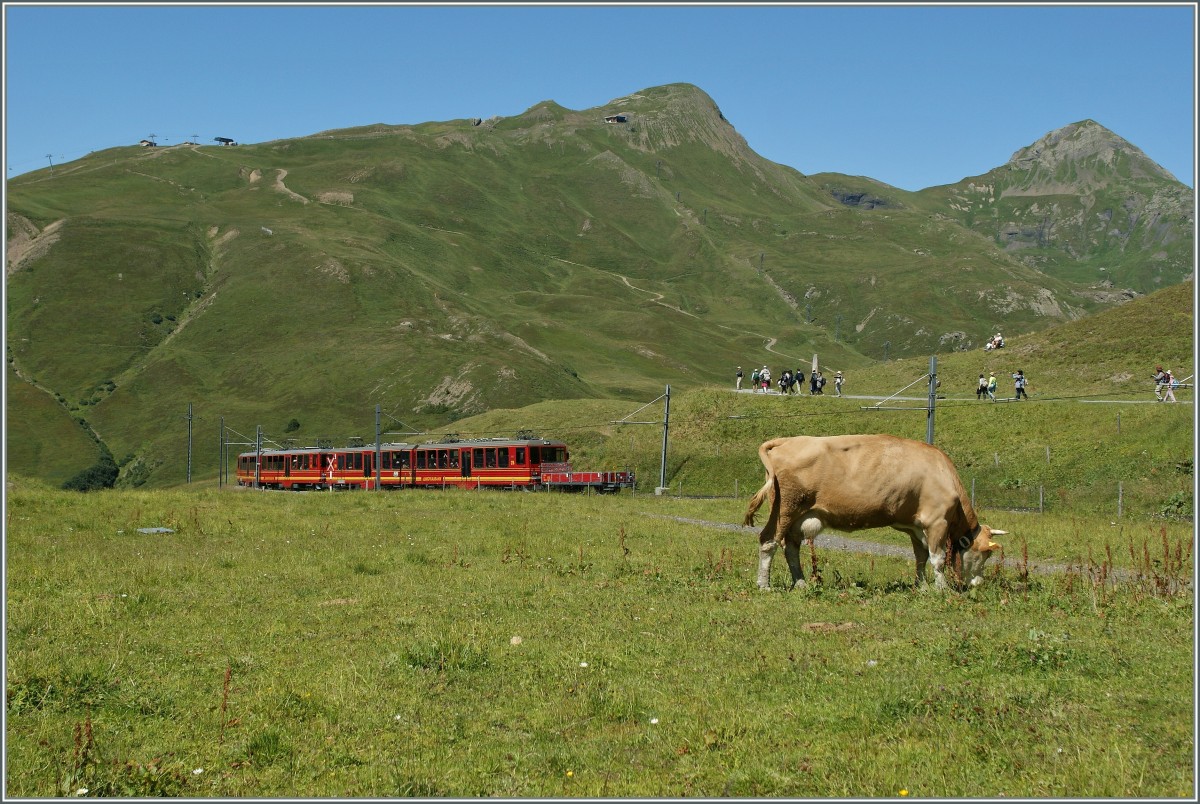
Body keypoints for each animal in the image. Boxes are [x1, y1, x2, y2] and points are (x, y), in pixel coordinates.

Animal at [739, 434, 1003, 592]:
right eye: (984, 554)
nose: (978, 583)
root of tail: (786, 441)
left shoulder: (916, 526)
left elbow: (921, 557)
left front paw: (922, 586)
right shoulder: (936, 521)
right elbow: (937, 558)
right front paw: (942, 589)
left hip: (797, 516)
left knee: (791, 547)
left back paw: (802, 583)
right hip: (785, 508)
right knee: (769, 541)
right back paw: (764, 585)